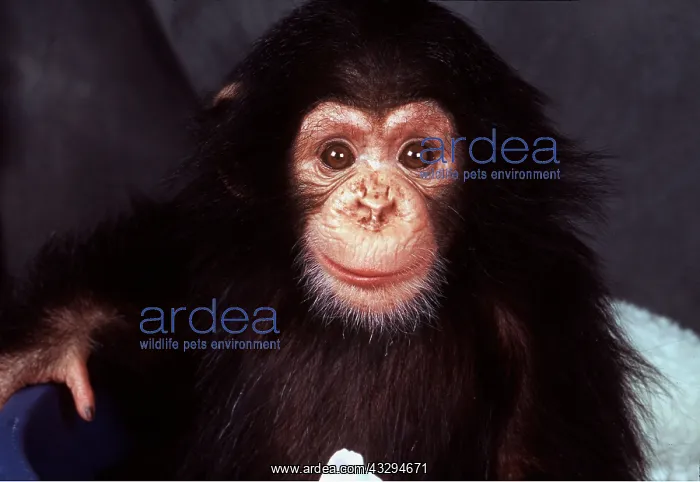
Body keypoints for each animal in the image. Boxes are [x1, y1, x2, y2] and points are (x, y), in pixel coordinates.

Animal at [0, 0, 654, 479]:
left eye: (419, 157)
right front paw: (38, 351)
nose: (374, 205)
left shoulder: (549, 316)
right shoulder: (211, 255)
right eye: (336, 156)